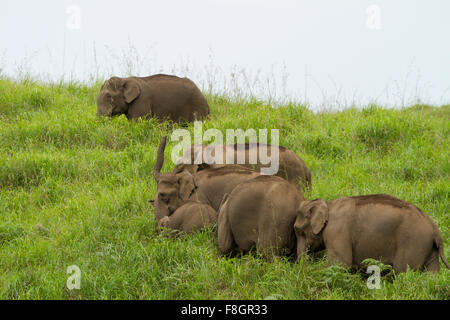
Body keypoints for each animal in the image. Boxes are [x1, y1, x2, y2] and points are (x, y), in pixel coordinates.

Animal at [296, 192, 450, 272]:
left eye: (298, 230)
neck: (329, 203)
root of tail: (434, 227)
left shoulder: (336, 230)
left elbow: (340, 262)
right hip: (429, 247)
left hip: (414, 242)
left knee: (403, 272)